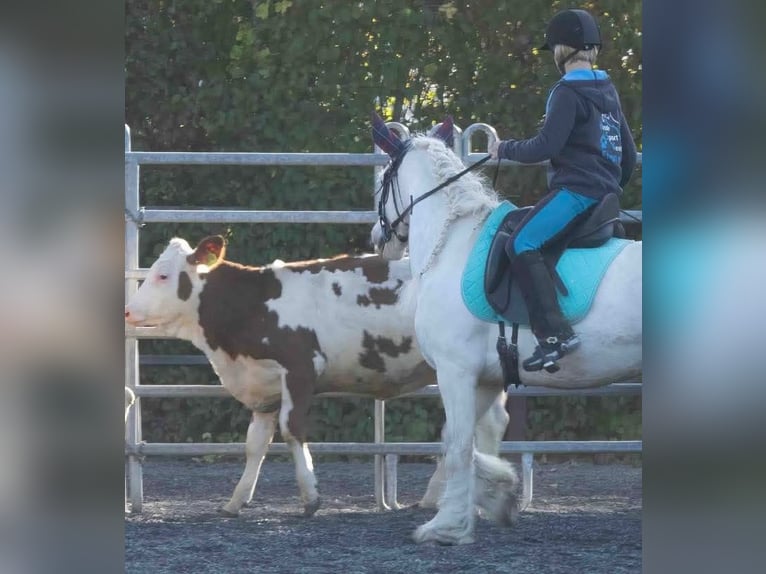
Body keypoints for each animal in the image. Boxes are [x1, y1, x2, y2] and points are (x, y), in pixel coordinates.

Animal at [370, 113, 642, 544]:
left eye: (381, 181)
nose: (378, 238)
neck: (452, 245)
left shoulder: (455, 371)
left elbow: (459, 445)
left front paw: (446, 526)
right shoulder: (484, 377)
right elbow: (458, 441)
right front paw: (497, 495)